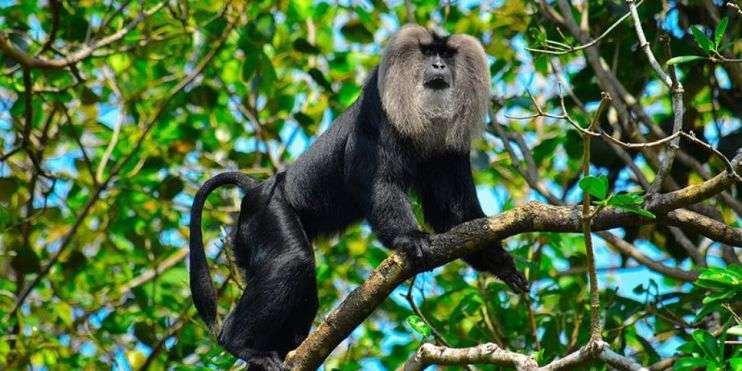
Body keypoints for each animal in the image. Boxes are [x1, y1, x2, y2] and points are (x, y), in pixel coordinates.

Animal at [189, 24, 532, 371]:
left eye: (446, 54)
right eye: (427, 53)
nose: (438, 66)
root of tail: (257, 186)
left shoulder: (451, 149)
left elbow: (453, 213)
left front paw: (498, 260)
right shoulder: (376, 108)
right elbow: (373, 180)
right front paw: (410, 239)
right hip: (267, 212)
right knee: (292, 261)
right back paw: (239, 343)